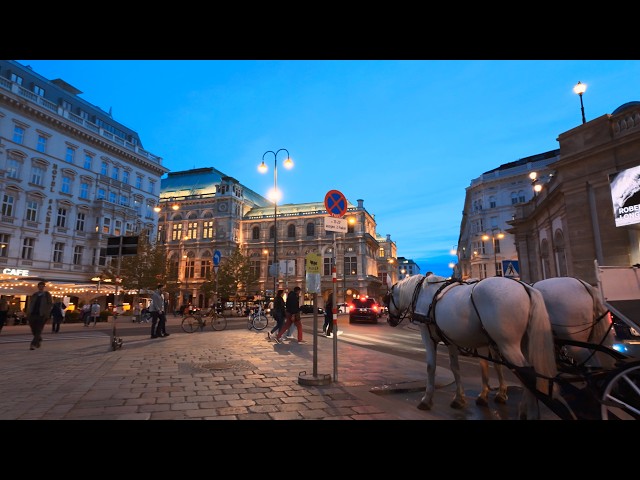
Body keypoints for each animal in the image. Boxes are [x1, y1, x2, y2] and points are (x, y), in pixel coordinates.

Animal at [384, 274, 560, 420]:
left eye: (387, 298)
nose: (390, 320)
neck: (422, 294)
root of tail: (525, 287)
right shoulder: (449, 340)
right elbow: (455, 367)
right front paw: (459, 398)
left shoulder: (427, 335)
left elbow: (430, 367)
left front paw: (426, 400)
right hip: (523, 342)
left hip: (507, 344)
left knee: (526, 373)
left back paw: (529, 412)